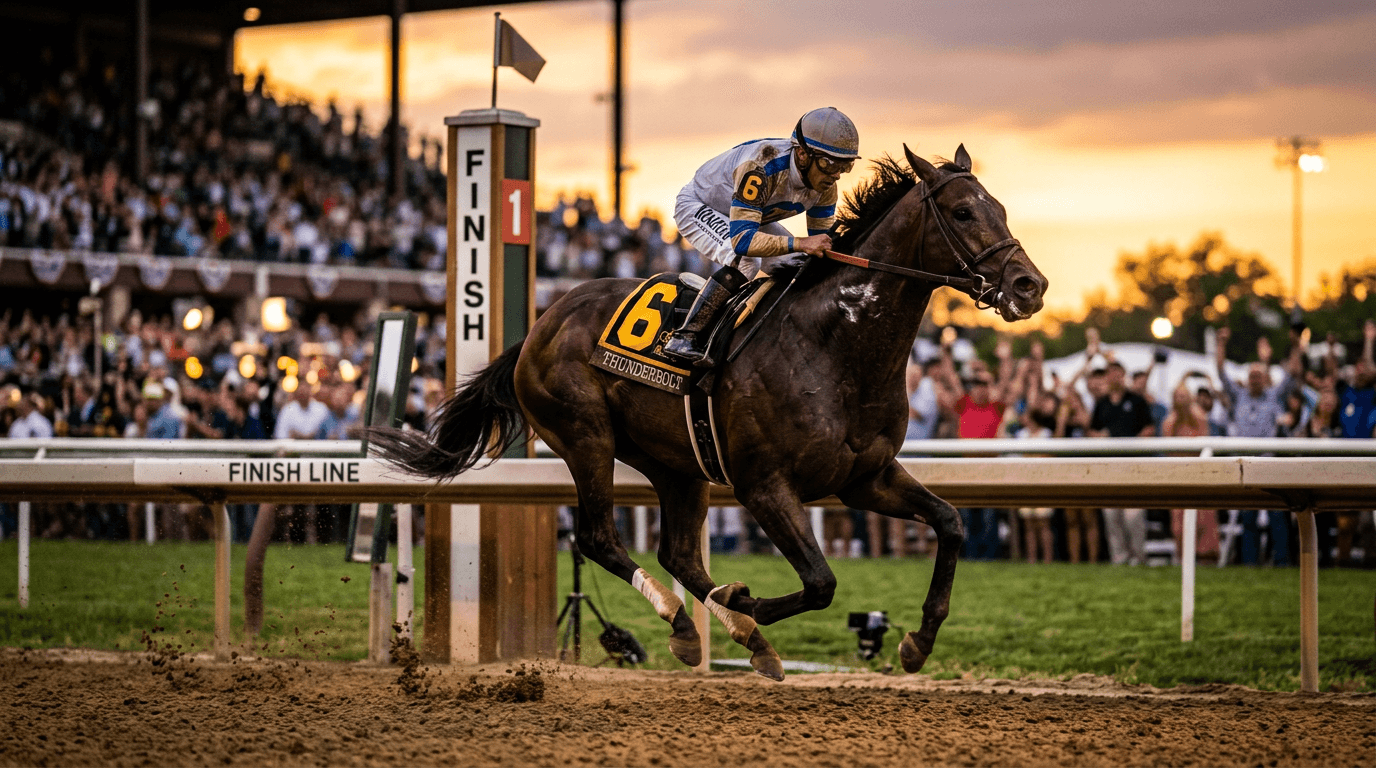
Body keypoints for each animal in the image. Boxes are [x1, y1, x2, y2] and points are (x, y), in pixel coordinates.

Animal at [370, 144, 1049, 680]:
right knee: (599, 538)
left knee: (679, 555)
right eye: (963, 212)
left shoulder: (865, 479)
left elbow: (951, 524)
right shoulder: (763, 485)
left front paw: (917, 642)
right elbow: (821, 582)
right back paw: (696, 620)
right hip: (586, 436)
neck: (836, 346)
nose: (1030, 286)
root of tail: (541, 325)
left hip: (677, 464)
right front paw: (745, 603)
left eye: (1000, 208)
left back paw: (732, 636)